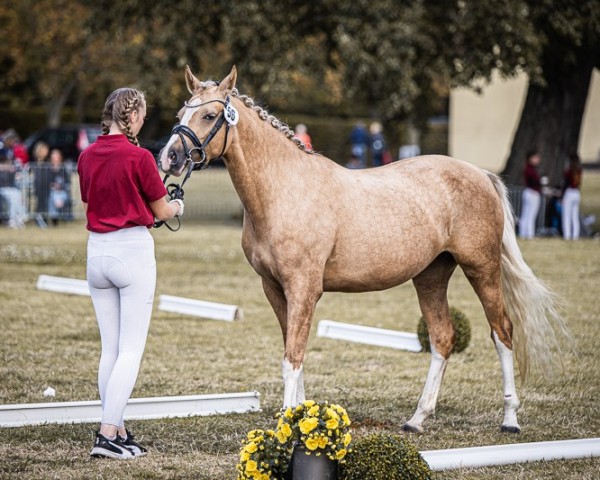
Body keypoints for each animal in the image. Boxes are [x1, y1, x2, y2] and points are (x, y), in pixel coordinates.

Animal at [158, 65, 568, 434]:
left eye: (210, 115)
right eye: (180, 115)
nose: (169, 158)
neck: (284, 189)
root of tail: (481, 174)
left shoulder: (303, 288)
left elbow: (292, 359)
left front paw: (289, 427)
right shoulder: (275, 289)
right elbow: (295, 355)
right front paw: (299, 418)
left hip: (481, 268)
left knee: (502, 332)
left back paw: (510, 419)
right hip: (432, 275)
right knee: (442, 338)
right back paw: (417, 419)